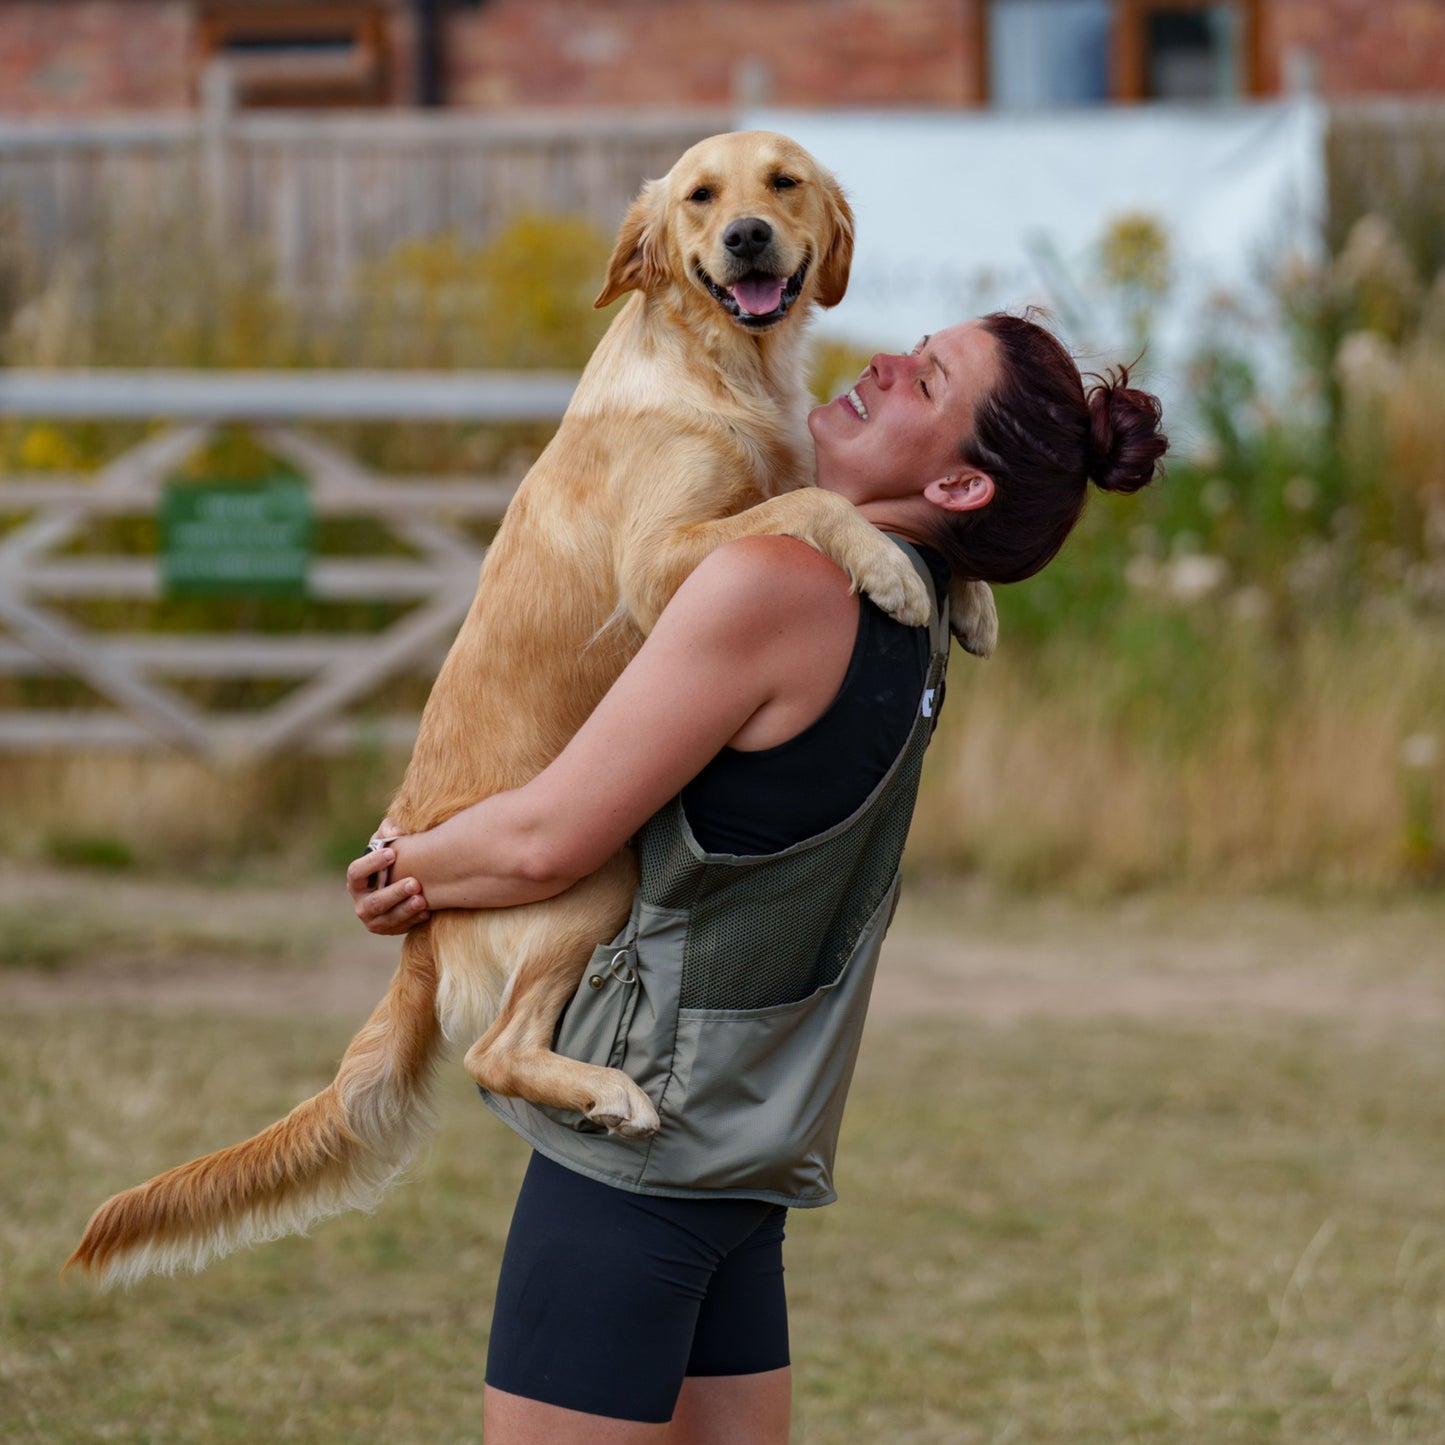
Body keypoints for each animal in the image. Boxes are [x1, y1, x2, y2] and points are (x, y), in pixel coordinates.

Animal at [65, 132, 994, 1288]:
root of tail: (420, 932)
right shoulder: (663, 563)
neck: (723, 371)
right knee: (492, 1050)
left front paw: (968, 594)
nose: (745, 238)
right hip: (596, 877)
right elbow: (811, 502)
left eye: (781, 183)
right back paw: (609, 1091)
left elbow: (821, 491)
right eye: (701, 197)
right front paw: (896, 573)